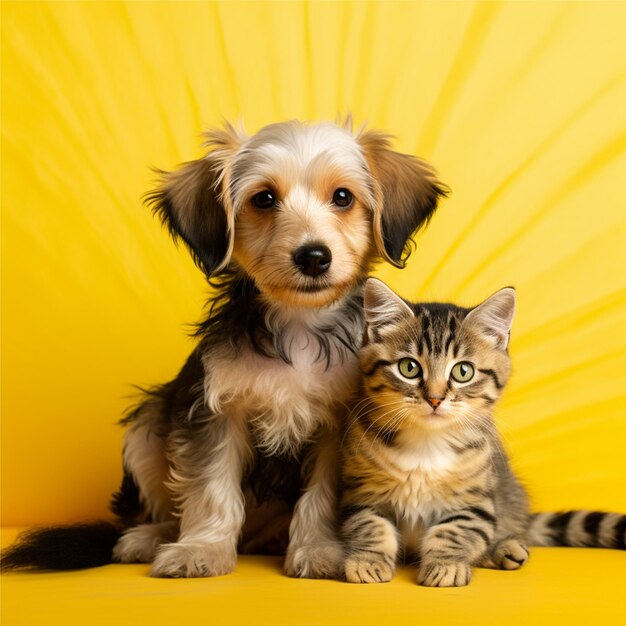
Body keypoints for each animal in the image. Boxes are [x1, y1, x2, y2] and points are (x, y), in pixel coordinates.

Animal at [2, 117, 446, 576]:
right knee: (168, 508)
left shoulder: (339, 427)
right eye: (264, 199)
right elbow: (211, 489)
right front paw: (201, 549)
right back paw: (148, 538)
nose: (313, 256)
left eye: (343, 197)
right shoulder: (215, 412)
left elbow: (321, 495)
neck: (298, 324)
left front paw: (319, 549)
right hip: (147, 424)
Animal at [342, 278, 624, 584]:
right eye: (409, 367)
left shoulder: (476, 500)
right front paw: (368, 561)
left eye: (463, 372)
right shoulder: (363, 492)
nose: (435, 399)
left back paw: (505, 549)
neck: (426, 444)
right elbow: (370, 526)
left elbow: (455, 532)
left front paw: (446, 565)